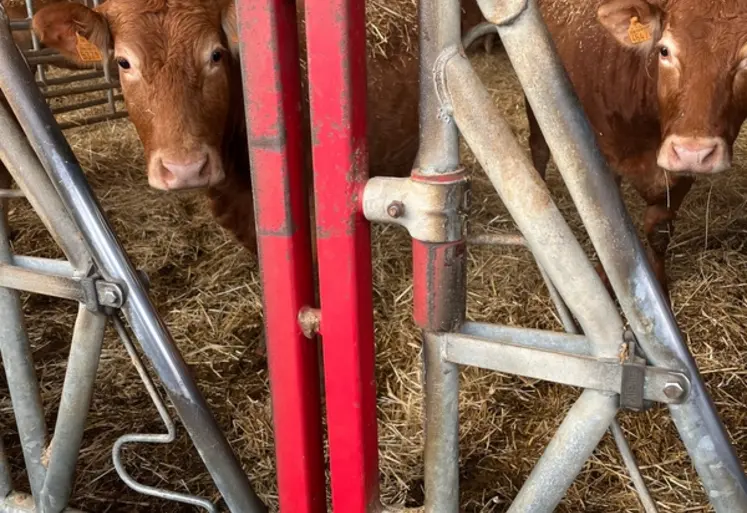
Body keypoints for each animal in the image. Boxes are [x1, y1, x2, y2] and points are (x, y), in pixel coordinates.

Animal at [466, 0, 747, 301]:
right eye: (664, 50)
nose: (692, 151)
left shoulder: (679, 176)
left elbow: (658, 231)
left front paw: (659, 285)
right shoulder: (603, 163)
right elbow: (610, 230)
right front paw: (607, 279)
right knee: (539, 148)